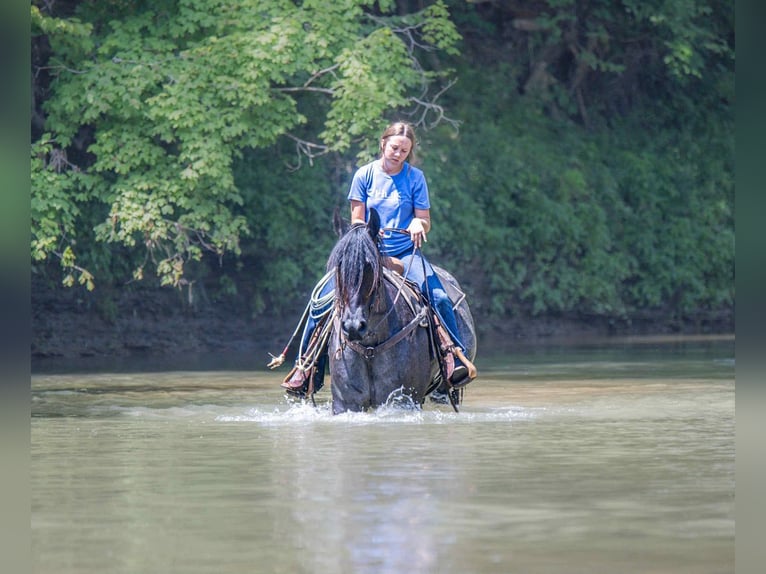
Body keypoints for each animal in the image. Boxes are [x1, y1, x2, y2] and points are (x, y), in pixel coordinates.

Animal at [326, 209, 476, 414]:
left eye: (370, 265)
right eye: (338, 265)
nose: (353, 327)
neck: (370, 347)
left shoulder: (403, 400)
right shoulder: (346, 403)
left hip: (445, 392)